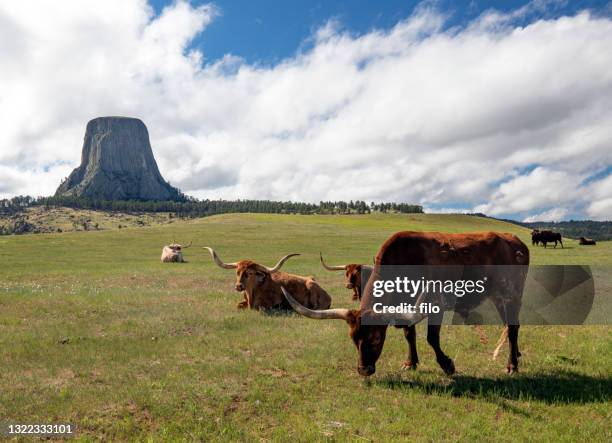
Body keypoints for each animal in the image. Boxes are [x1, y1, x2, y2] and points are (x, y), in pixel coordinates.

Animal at [282, 232, 524, 378]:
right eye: (353, 338)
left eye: (376, 338)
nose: (363, 370)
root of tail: (515, 241)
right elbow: (409, 334)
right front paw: (411, 362)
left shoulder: (434, 306)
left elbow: (431, 338)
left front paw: (447, 365)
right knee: (510, 326)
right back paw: (517, 355)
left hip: (512, 295)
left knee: (513, 327)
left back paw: (512, 365)